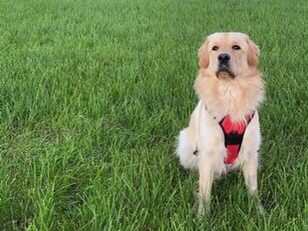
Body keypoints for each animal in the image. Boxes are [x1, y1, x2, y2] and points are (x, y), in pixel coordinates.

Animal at [176, 32, 264, 215]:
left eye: (236, 47)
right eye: (215, 48)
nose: (223, 57)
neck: (229, 91)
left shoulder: (251, 150)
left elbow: (252, 186)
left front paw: (258, 210)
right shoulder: (207, 152)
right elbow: (204, 189)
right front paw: (202, 215)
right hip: (185, 145)